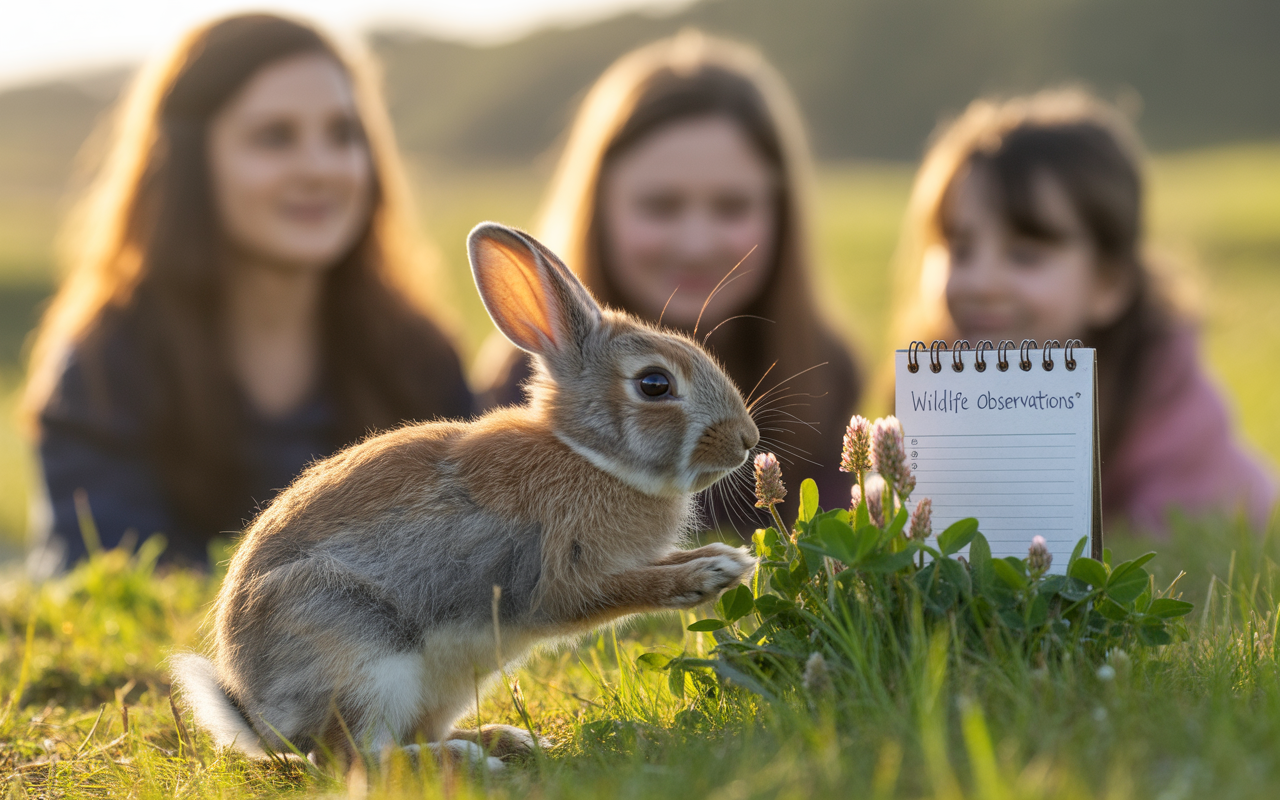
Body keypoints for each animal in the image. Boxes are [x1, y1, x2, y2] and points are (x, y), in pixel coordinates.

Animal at [171, 222, 760, 770]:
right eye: (655, 384)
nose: (747, 440)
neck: (588, 455)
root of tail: (263, 721)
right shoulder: (557, 573)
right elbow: (615, 590)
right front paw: (707, 576)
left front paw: (729, 560)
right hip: (360, 652)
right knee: (359, 758)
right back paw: (468, 760)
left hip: (446, 683)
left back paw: (508, 740)